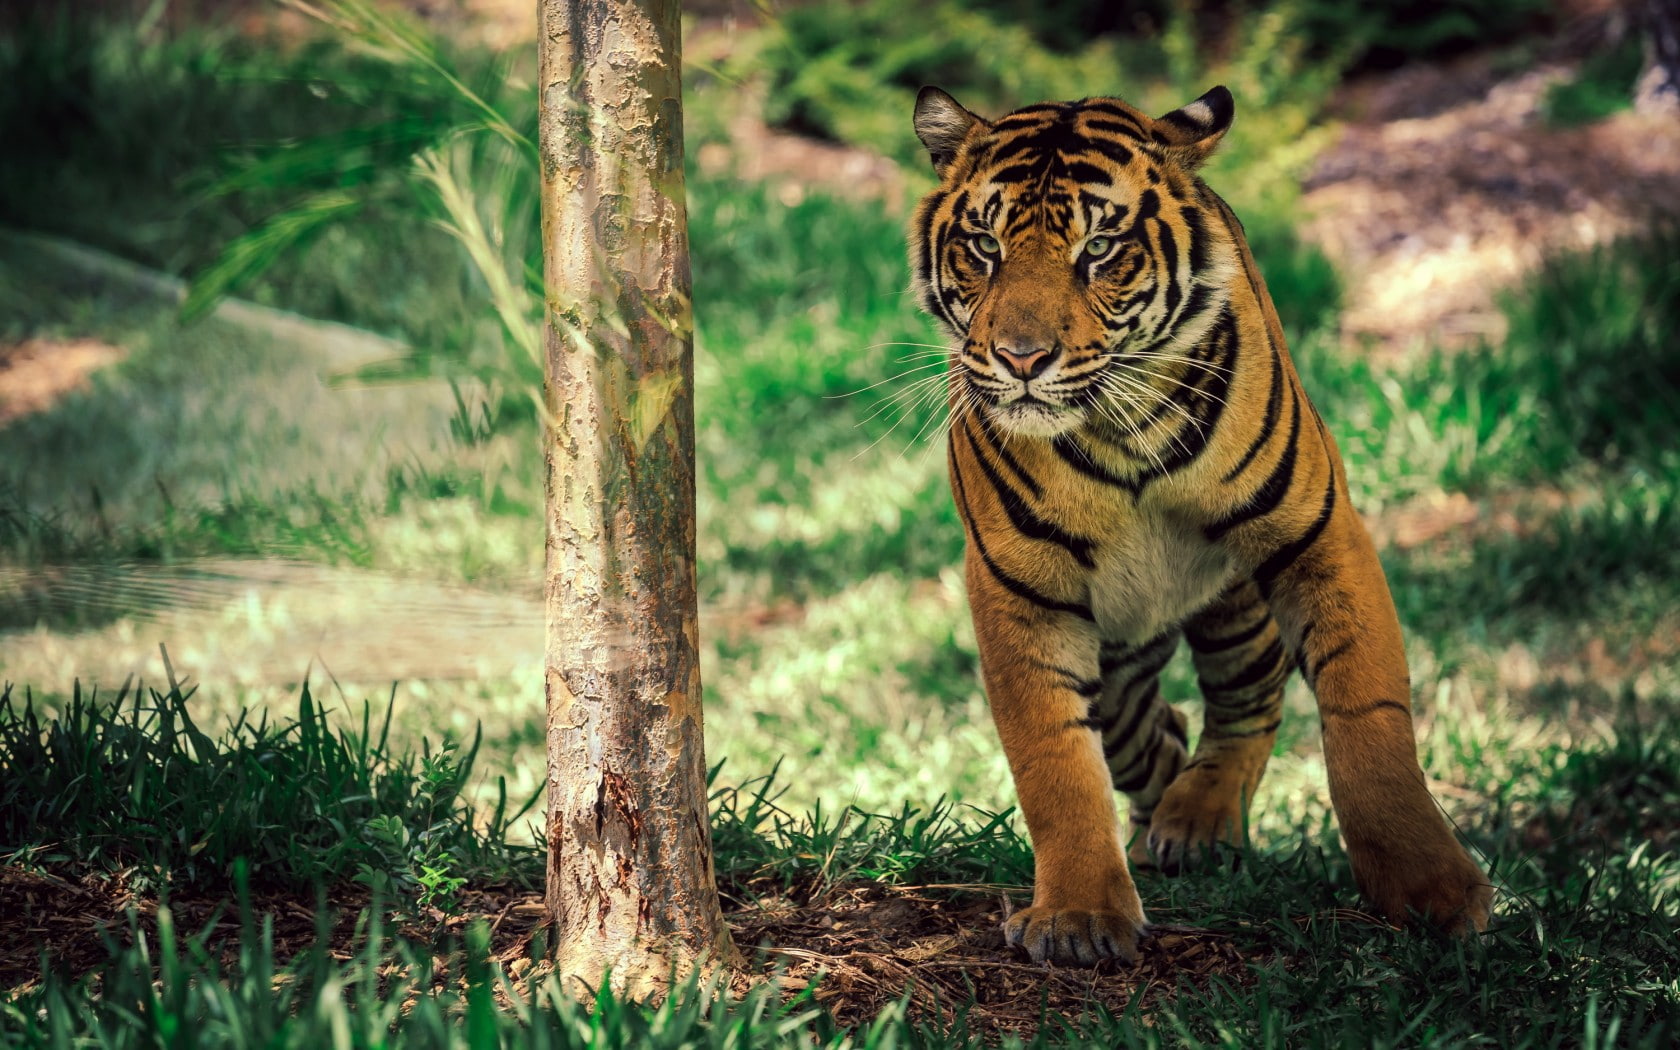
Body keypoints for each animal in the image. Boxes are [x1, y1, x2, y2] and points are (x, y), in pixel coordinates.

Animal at [908, 85, 1492, 965]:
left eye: (1099, 248)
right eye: (984, 246)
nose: (1021, 358)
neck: (1117, 431)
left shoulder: (1317, 533)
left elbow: (1368, 720)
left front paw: (1434, 890)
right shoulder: (1021, 588)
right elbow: (1053, 759)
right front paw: (1080, 914)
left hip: (1234, 604)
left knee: (1248, 704)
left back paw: (1198, 820)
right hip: (1121, 649)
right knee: (1151, 727)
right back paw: (1161, 826)